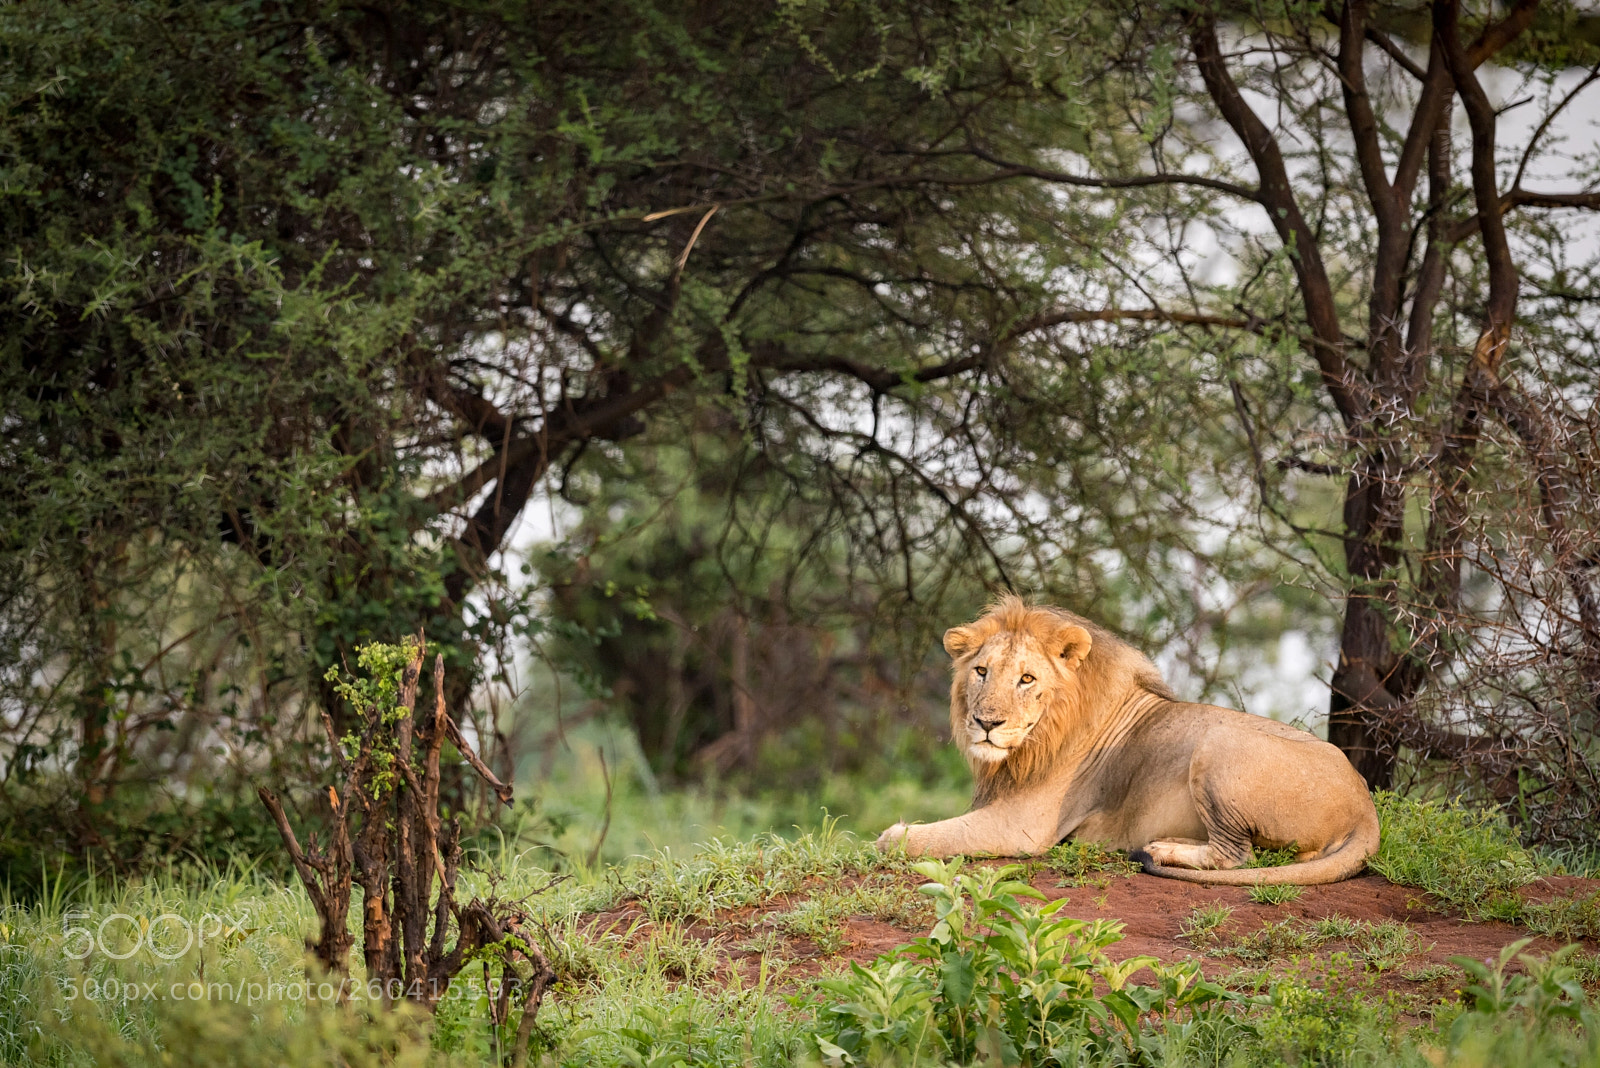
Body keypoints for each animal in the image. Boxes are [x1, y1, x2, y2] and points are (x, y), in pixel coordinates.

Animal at [875, 596, 1380, 885]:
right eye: (981, 671)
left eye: (1026, 679)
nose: (985, 723)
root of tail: (1366, 809)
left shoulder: (1024, 826)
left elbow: (917, 838)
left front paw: (888, 836)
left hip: (1217, 744)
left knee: (1237, 857)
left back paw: (1160, 850)